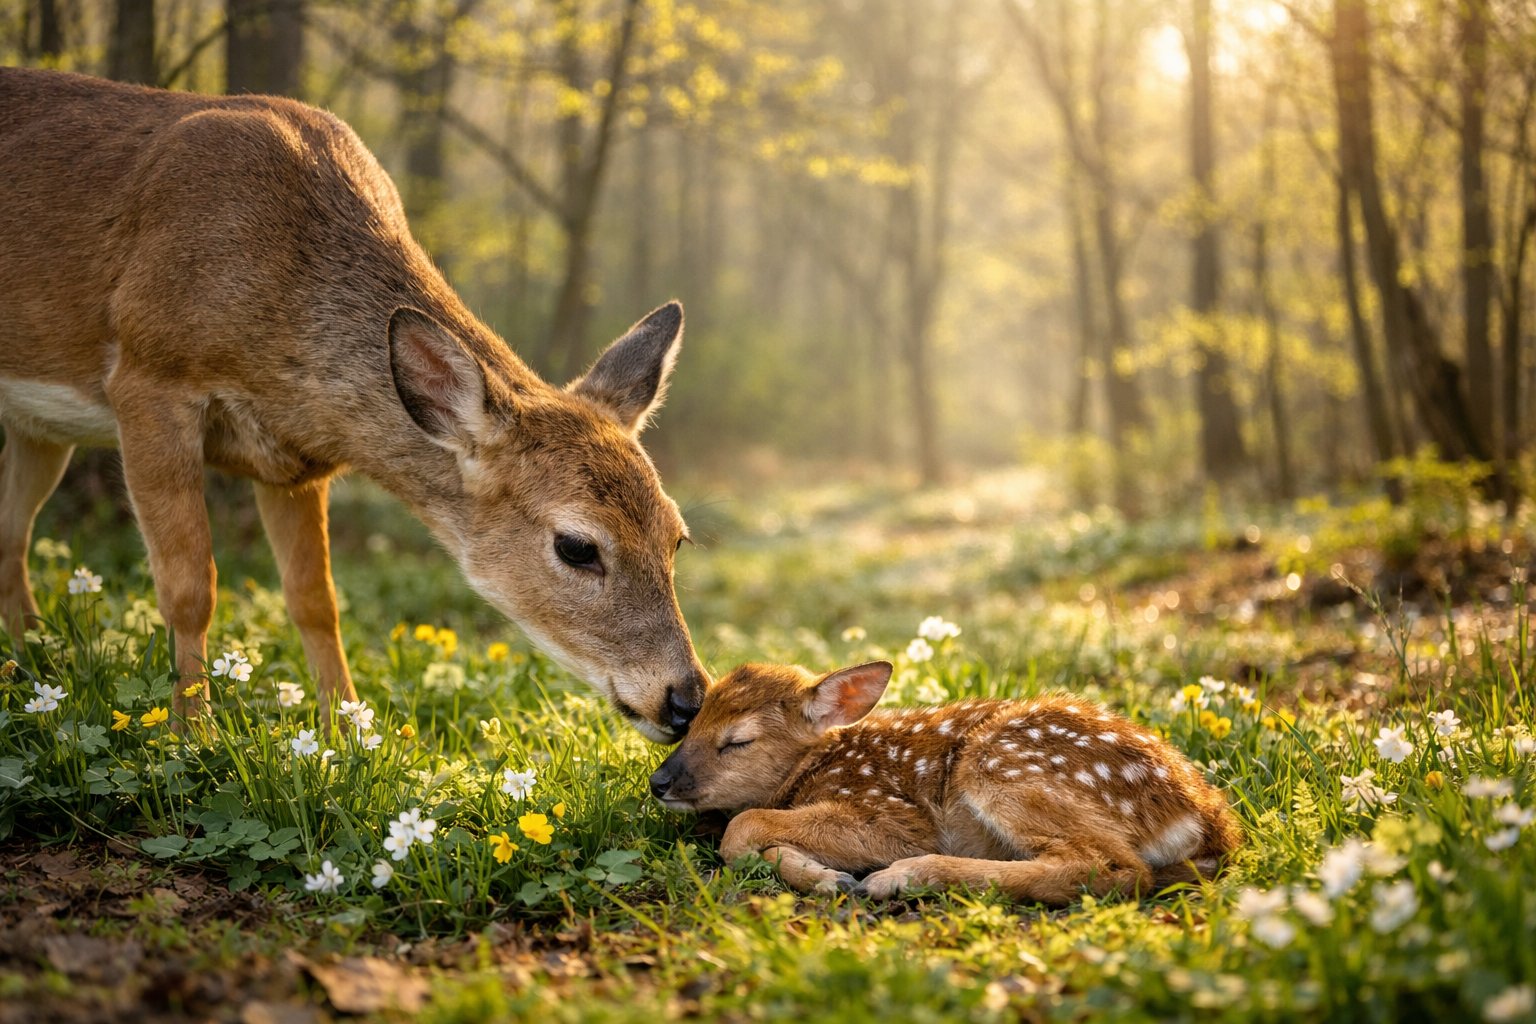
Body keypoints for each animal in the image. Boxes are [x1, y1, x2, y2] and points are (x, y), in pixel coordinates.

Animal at [0, 67, 708, 741]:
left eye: (676, 537)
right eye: (577, 546)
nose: (686, 700)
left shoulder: (290, 458)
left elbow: (316, 599)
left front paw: (347, 731)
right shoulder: (149, 377)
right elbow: (189, 587)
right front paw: (188, 736)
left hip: (38, 430)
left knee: (12, 534)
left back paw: (36, 668)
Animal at [649, 661, 1243, 902]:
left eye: (737, 741)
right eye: (693, 721)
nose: (660, 782)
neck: (817, 765)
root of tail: (1206, 821)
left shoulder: (891, 814)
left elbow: (743, 825)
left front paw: (835, 876)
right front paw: (823, 877)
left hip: (1001, 763)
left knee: (1113, 869)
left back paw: (901, 878)